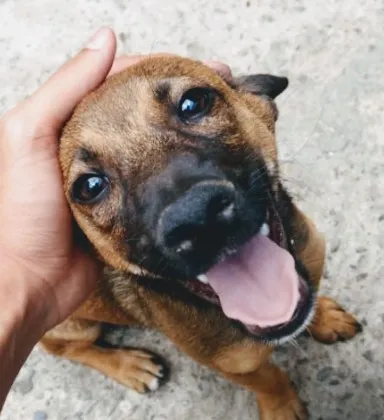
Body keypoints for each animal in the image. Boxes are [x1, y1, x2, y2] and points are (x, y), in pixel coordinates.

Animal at [40, 55, 362, 420]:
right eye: (90, 186)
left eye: (193, 103)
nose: (196, 218)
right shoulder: (231, 365)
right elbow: (269, 379)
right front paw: (281, 406)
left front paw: (325, 317)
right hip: (73, 326)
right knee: (67, 349)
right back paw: (130, 366)